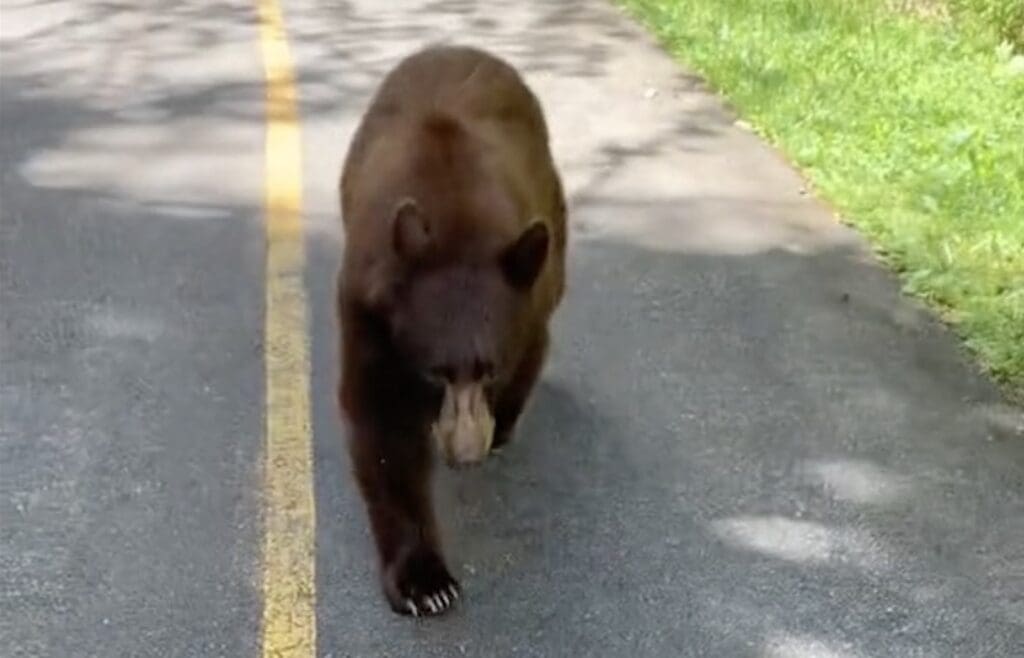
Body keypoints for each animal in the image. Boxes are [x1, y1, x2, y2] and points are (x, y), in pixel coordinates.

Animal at [335, 44, 567, 617]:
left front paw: (498, 424)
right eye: (435, 372)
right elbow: (383, 425)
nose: (464, 455)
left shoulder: (530, 297)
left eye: (490, 370)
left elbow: (531, 349)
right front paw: (426, 583)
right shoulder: (369, 307)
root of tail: (460, 47)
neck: (457, 219)